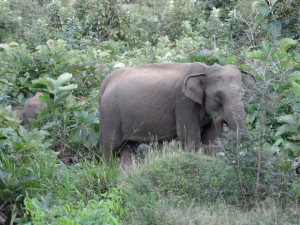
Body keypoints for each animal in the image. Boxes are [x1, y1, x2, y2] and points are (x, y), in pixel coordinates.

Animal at [99, 62, 254, 171]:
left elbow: (209, 138)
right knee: (109, 147)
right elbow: (190, 136)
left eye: (244, 94)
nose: (221, 118)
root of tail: (104, 84)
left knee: (127, 148)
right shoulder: (183, 102)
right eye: (218, 96)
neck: (205, 70)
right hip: (109, 114)